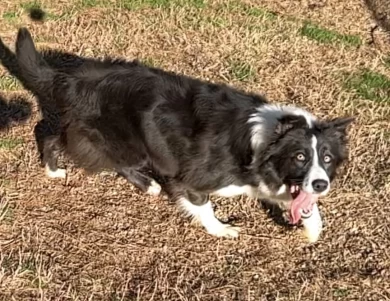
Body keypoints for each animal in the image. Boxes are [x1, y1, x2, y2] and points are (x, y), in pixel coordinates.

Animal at [11, 28, 354, 243]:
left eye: (326, 159)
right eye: (299, 156)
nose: (322, 184)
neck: (263, 142)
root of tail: (72, 78)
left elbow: (305, 206)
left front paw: (312, 230)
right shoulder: (193, 178)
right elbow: (203, 204)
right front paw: (222, 230)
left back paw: (147, 184)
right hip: (116, 139)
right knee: (51, 134)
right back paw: (54, 169)